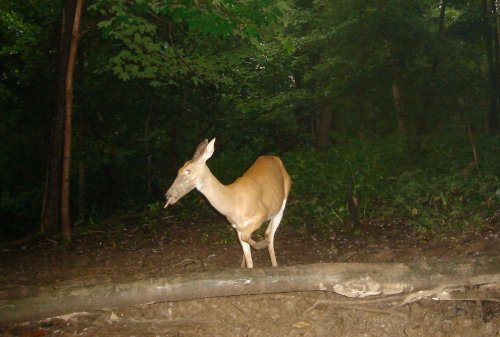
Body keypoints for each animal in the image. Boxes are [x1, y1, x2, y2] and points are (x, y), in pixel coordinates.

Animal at [164, 137, 292, 268]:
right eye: (179, 170)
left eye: (187, 171)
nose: (167, 195)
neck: (233, 203)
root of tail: (274, 157)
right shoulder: (237, 227)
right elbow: (249, 258)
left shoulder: (262, 213)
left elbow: (253, 236)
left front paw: (261, 244)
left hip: (281, 204)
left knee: (269, 234)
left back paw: (274, 262)